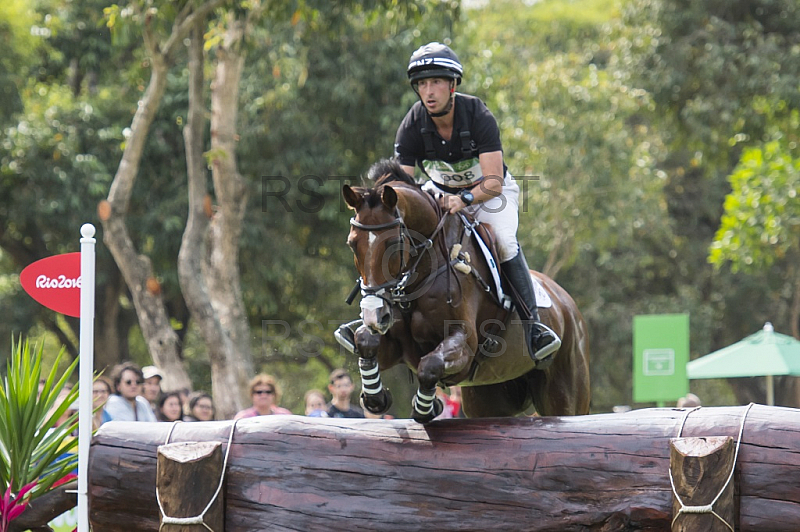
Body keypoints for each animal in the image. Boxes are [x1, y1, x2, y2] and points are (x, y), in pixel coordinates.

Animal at [340, 159, 592, 424]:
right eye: (352, 244)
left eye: (393, 244)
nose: (374, 315)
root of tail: (569, 306)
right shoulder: (398, 344)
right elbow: (364, 340)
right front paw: (376, 398)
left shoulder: (465, 345)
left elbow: (430, 365)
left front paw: (426, 409)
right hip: (488, 399)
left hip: (564, 394)